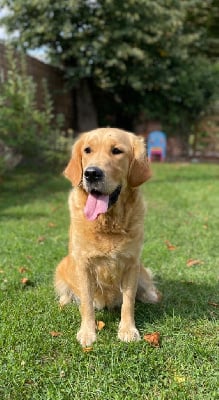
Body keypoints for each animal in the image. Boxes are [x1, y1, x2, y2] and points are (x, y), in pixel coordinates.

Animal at [54, 128, 161, 346]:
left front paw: (128, 330)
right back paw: (65, 299)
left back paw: (150, 295)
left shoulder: (131, 264)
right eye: (87, 150)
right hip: (62, 266)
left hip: (141, 270)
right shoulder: (84, 265)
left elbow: (128, 302)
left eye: (117, 151)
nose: (91, 173)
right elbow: (86, 303)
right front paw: (87, 333)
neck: (108, 223)